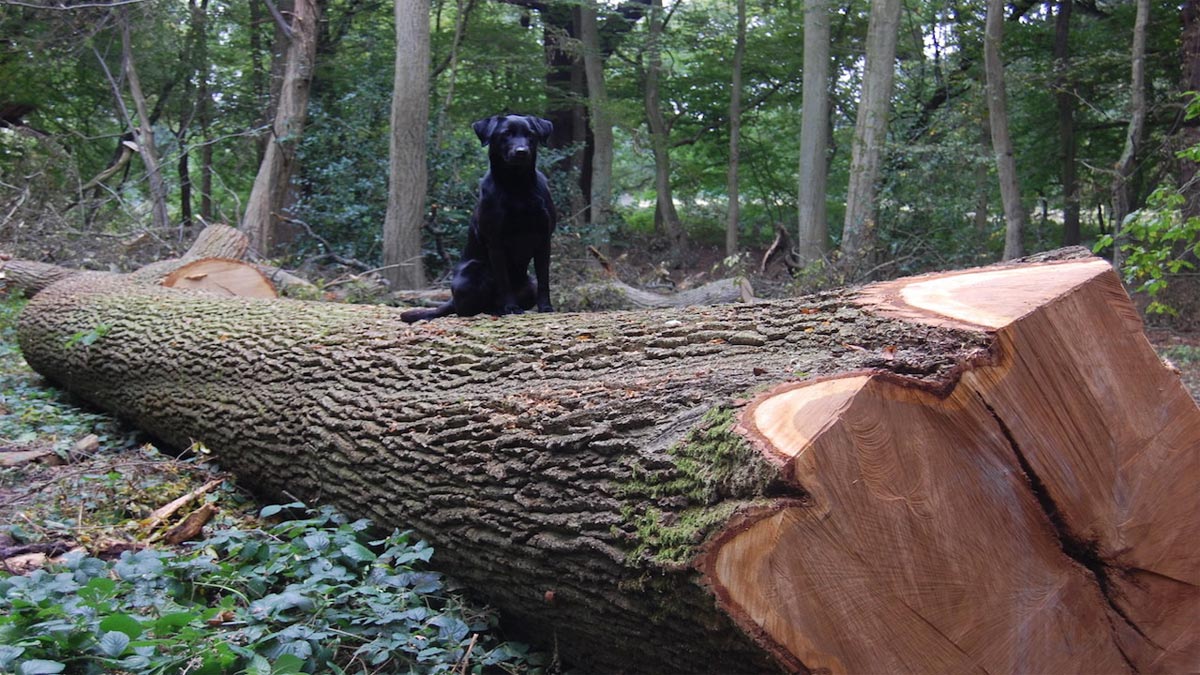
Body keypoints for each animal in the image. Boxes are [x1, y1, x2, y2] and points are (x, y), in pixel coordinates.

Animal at [400, 113, 554, 324]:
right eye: (506, 134)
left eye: (531, 134)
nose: (521, 152)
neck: (517, 185)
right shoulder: (495, 243)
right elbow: (503, 280)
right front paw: (511, 307)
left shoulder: (544, 239)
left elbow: (544, 279)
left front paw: (546, 307)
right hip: (473, 272)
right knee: (464, 309)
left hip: (529, 283)